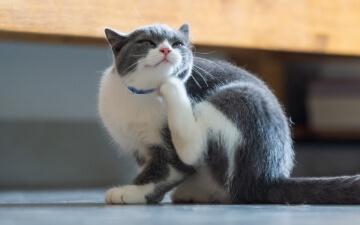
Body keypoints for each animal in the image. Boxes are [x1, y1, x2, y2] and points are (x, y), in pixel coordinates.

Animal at [98, 23, 360, 204]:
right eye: (147, 42)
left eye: (178, 44)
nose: (165, 49)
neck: (141, 96)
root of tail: (268, 178)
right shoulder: (138, 147)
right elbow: (151, 169)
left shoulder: (168, 149)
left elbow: (166, 169)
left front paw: (129, 192)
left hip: (236, 96)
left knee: (193, 149)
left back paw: (173, 86)